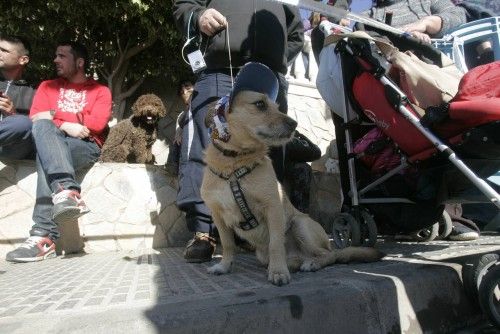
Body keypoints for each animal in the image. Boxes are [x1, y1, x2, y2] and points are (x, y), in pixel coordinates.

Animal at [199, 90, 382, 286]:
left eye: (277, 106)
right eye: (260, 104)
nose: (294, 124)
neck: (233, 164)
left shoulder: (273, 208)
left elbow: (276, 244)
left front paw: (278, 272)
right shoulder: (218, 216)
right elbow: (228, 244)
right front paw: (224, 266)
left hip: (300, 224)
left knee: (329, 255)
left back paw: (311, 263)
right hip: (262, 254)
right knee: (298, 258)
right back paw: (294, 263)